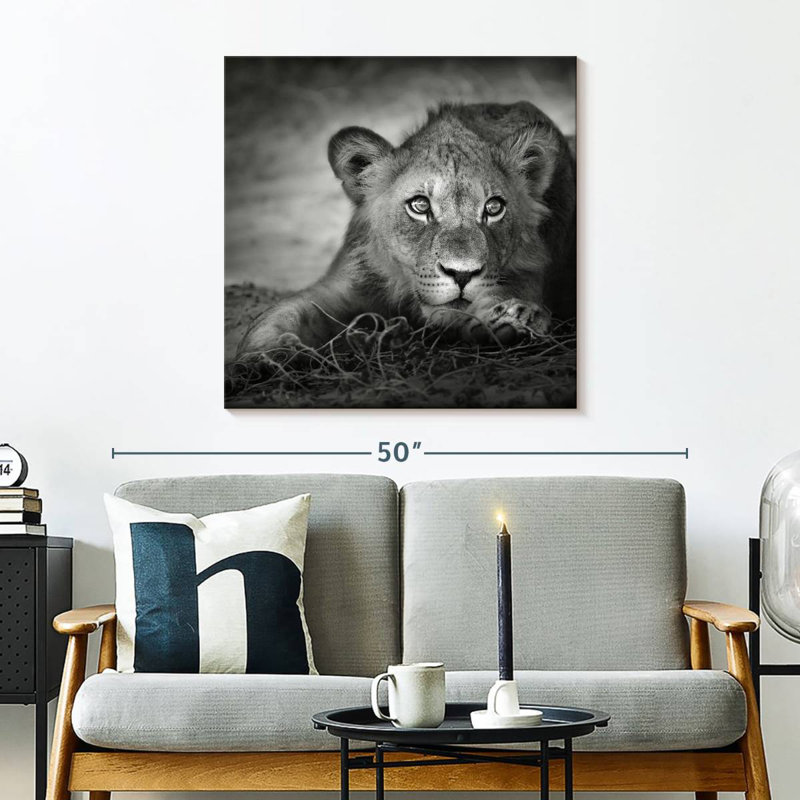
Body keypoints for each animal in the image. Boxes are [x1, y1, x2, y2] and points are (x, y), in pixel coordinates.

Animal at [237, 101, 575, 357]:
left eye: (493, 208)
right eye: (420, 206)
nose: (462, 274)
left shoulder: (527, 274)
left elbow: (507, 294)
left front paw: (514, 319)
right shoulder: (346, 283)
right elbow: (280, 314)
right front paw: (266, 355)